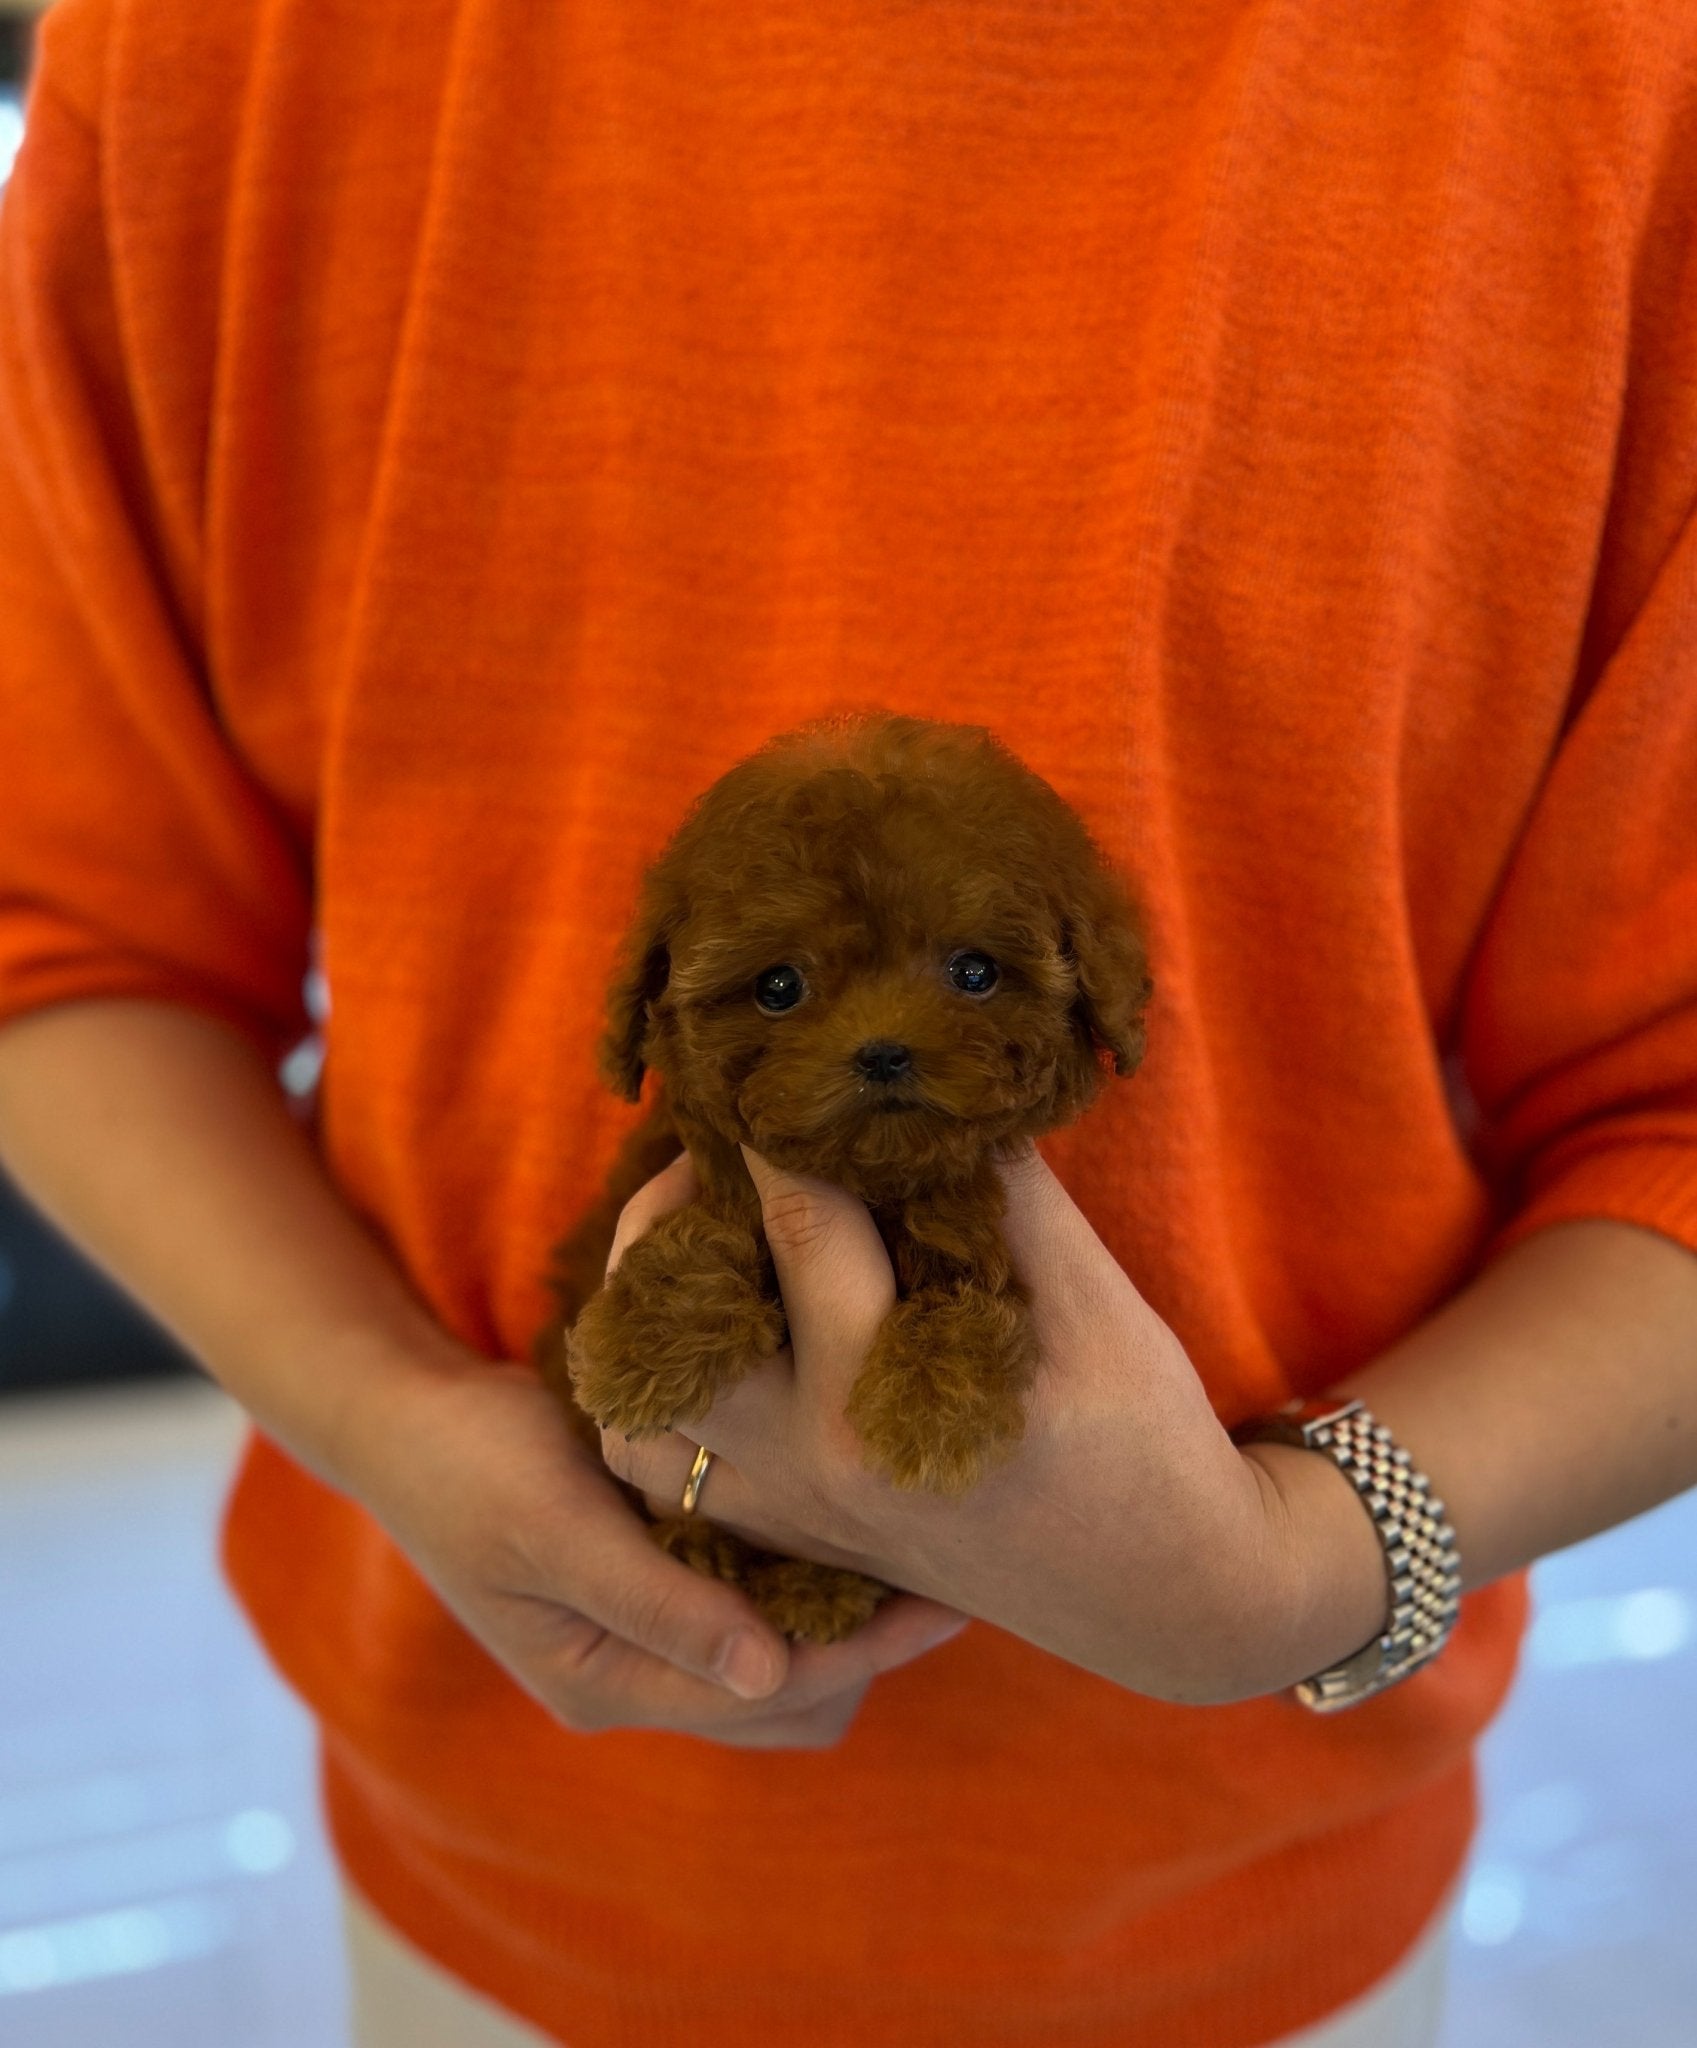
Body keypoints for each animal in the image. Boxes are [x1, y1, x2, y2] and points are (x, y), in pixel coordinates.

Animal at [544, 712, 1154, 1638]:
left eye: (974, 972)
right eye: (778, 986)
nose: (883, 1052)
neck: (868, 1182)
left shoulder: (970, 1227)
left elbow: (965, 1300)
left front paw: (930, 1411)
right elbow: (706, 1238)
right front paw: (641, 1343)